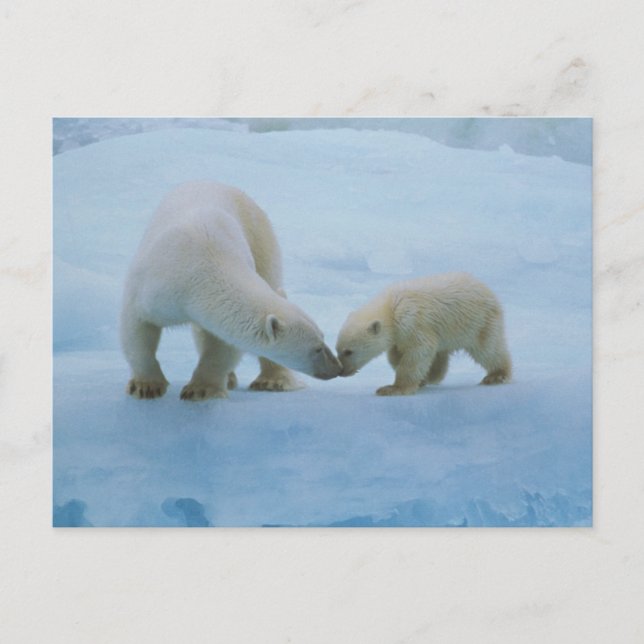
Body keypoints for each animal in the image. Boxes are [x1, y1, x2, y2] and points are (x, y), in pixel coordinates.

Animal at [120, 180, 341, 400]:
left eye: (322, 337)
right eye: (316, 348)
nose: (337, 367)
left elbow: (222, 343)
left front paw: (200, 389)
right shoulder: (153, 284)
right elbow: (137, 325)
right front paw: (146, 386)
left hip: (260, 239)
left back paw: (272, 381)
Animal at [335, 272, 512, 396]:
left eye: (348, 351)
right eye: (337, 350)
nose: (341, 371)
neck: (390, 307)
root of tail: (487, 289)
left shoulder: (412, 321)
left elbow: (418, 350)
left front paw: (392, 388)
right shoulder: (400, 334)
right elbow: (396, 353)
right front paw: (421, 379)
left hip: (479, 322)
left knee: (488, 349)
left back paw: (496, 375)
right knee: (441, 353)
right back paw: (435, 374)